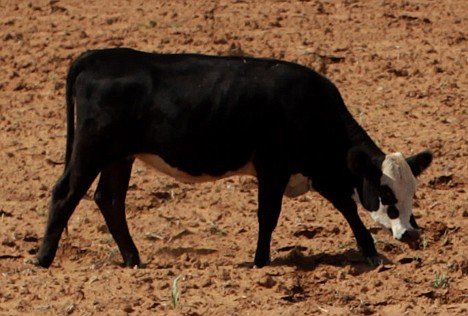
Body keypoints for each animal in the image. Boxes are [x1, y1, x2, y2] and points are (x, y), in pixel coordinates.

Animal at [34, 47, 434, 270]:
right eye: (386, 194)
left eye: (412, 193)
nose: (412, 233)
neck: (308, 106)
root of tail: (100, 56)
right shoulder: (274, 167)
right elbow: (268, 215)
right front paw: (260, 261)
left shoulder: (318, 168)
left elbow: (346, 205)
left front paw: (370, 252)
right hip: (92, 150)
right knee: (65, 193)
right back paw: (42, 260)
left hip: (119, 155)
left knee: (110, 199)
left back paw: (132, 259)